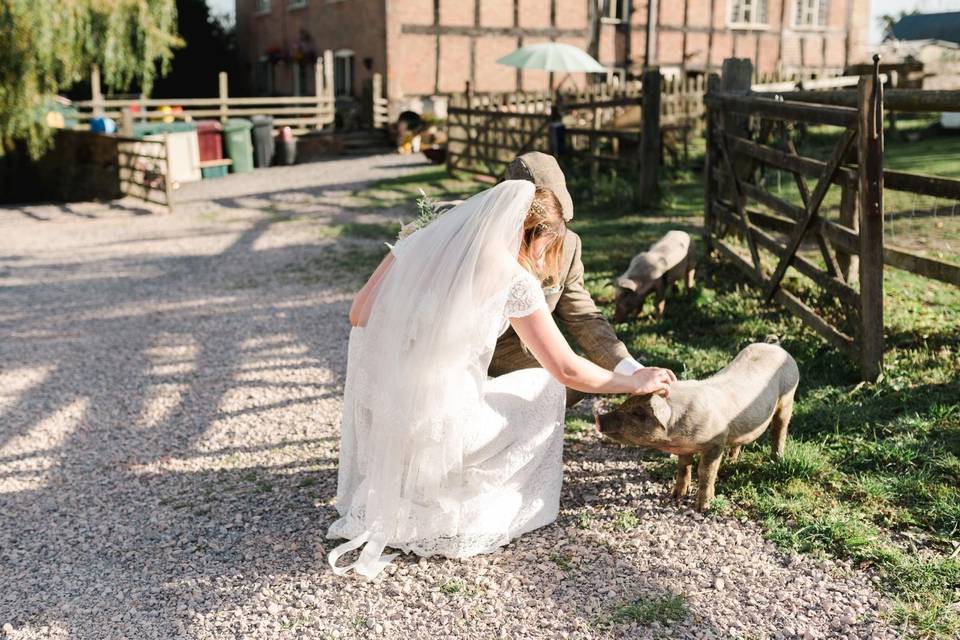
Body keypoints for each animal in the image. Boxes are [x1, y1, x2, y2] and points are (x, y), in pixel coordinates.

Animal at [596, 342, 800, 512]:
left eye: (637, 413)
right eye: (626, 404)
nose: (599, 417)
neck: (675, 436)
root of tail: (776, 347)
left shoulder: (716, 441)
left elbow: (706, 473)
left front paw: (702, 508)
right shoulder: (684, 447)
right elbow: (683, 468)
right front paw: (676, 496)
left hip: (788, 397)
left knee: (779, 429)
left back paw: (776, 460)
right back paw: (733, 461)